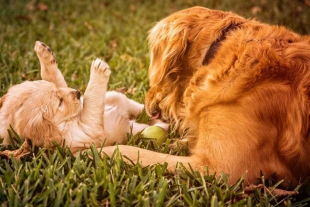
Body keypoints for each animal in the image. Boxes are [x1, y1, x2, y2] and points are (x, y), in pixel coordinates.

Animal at [0, 40, 150, 157]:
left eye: (58, 91)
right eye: (59, 102)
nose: (77, 93)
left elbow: (53, 77)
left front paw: (44, 53)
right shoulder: (88, 133)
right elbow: (90, 105)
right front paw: (98, 70)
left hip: (115, 96)